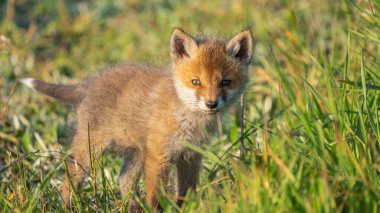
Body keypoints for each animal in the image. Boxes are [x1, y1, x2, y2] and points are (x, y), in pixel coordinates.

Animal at [20, 28, 252, 211]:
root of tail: (90, 83)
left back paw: (131, 207)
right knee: (69, 179)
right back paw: (67, 206)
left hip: (137, 154)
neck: (188, 118)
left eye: (225, 82)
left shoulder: (191, 155)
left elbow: (186, 191)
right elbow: (155, 195)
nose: (211, 104)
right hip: (90, 151)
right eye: (196, 82)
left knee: (124, 178)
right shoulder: (159, 156)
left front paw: (184, 208)